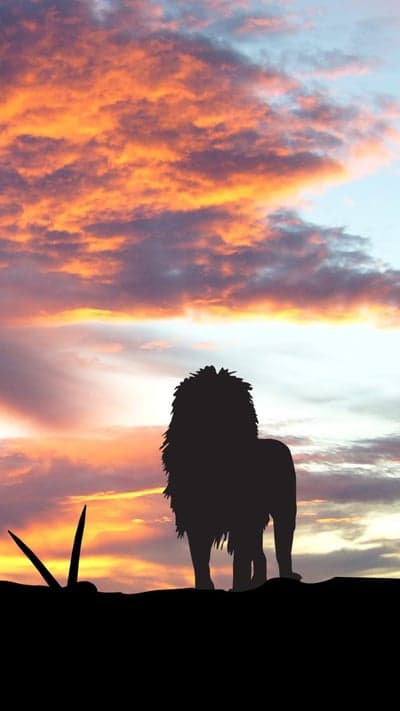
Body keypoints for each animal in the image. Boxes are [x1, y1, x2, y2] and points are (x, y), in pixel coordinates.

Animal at [162, 366, 300, 590]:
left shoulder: (242, 516)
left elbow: (240, 561)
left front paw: (239, 586)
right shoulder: (195, 518)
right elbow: (200, 560)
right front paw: (206, 586)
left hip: (283, 507)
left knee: (281, 545)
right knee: (260, 553)